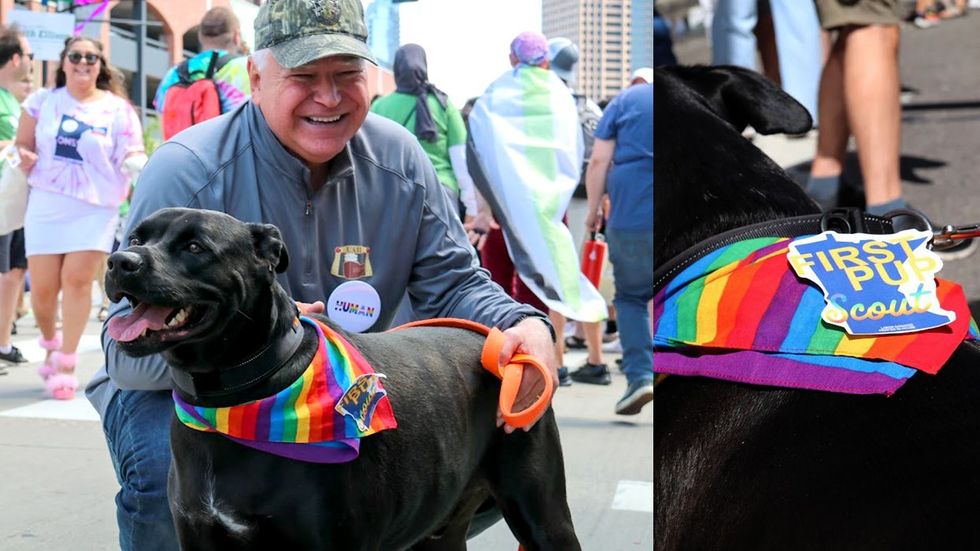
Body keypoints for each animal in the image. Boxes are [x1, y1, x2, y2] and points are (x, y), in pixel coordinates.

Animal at [103, 208, 580, 551]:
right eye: (136, 239)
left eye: (195, 246)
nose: (119, 261)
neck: (232, 397)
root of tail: (501, 346)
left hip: (544, 519)